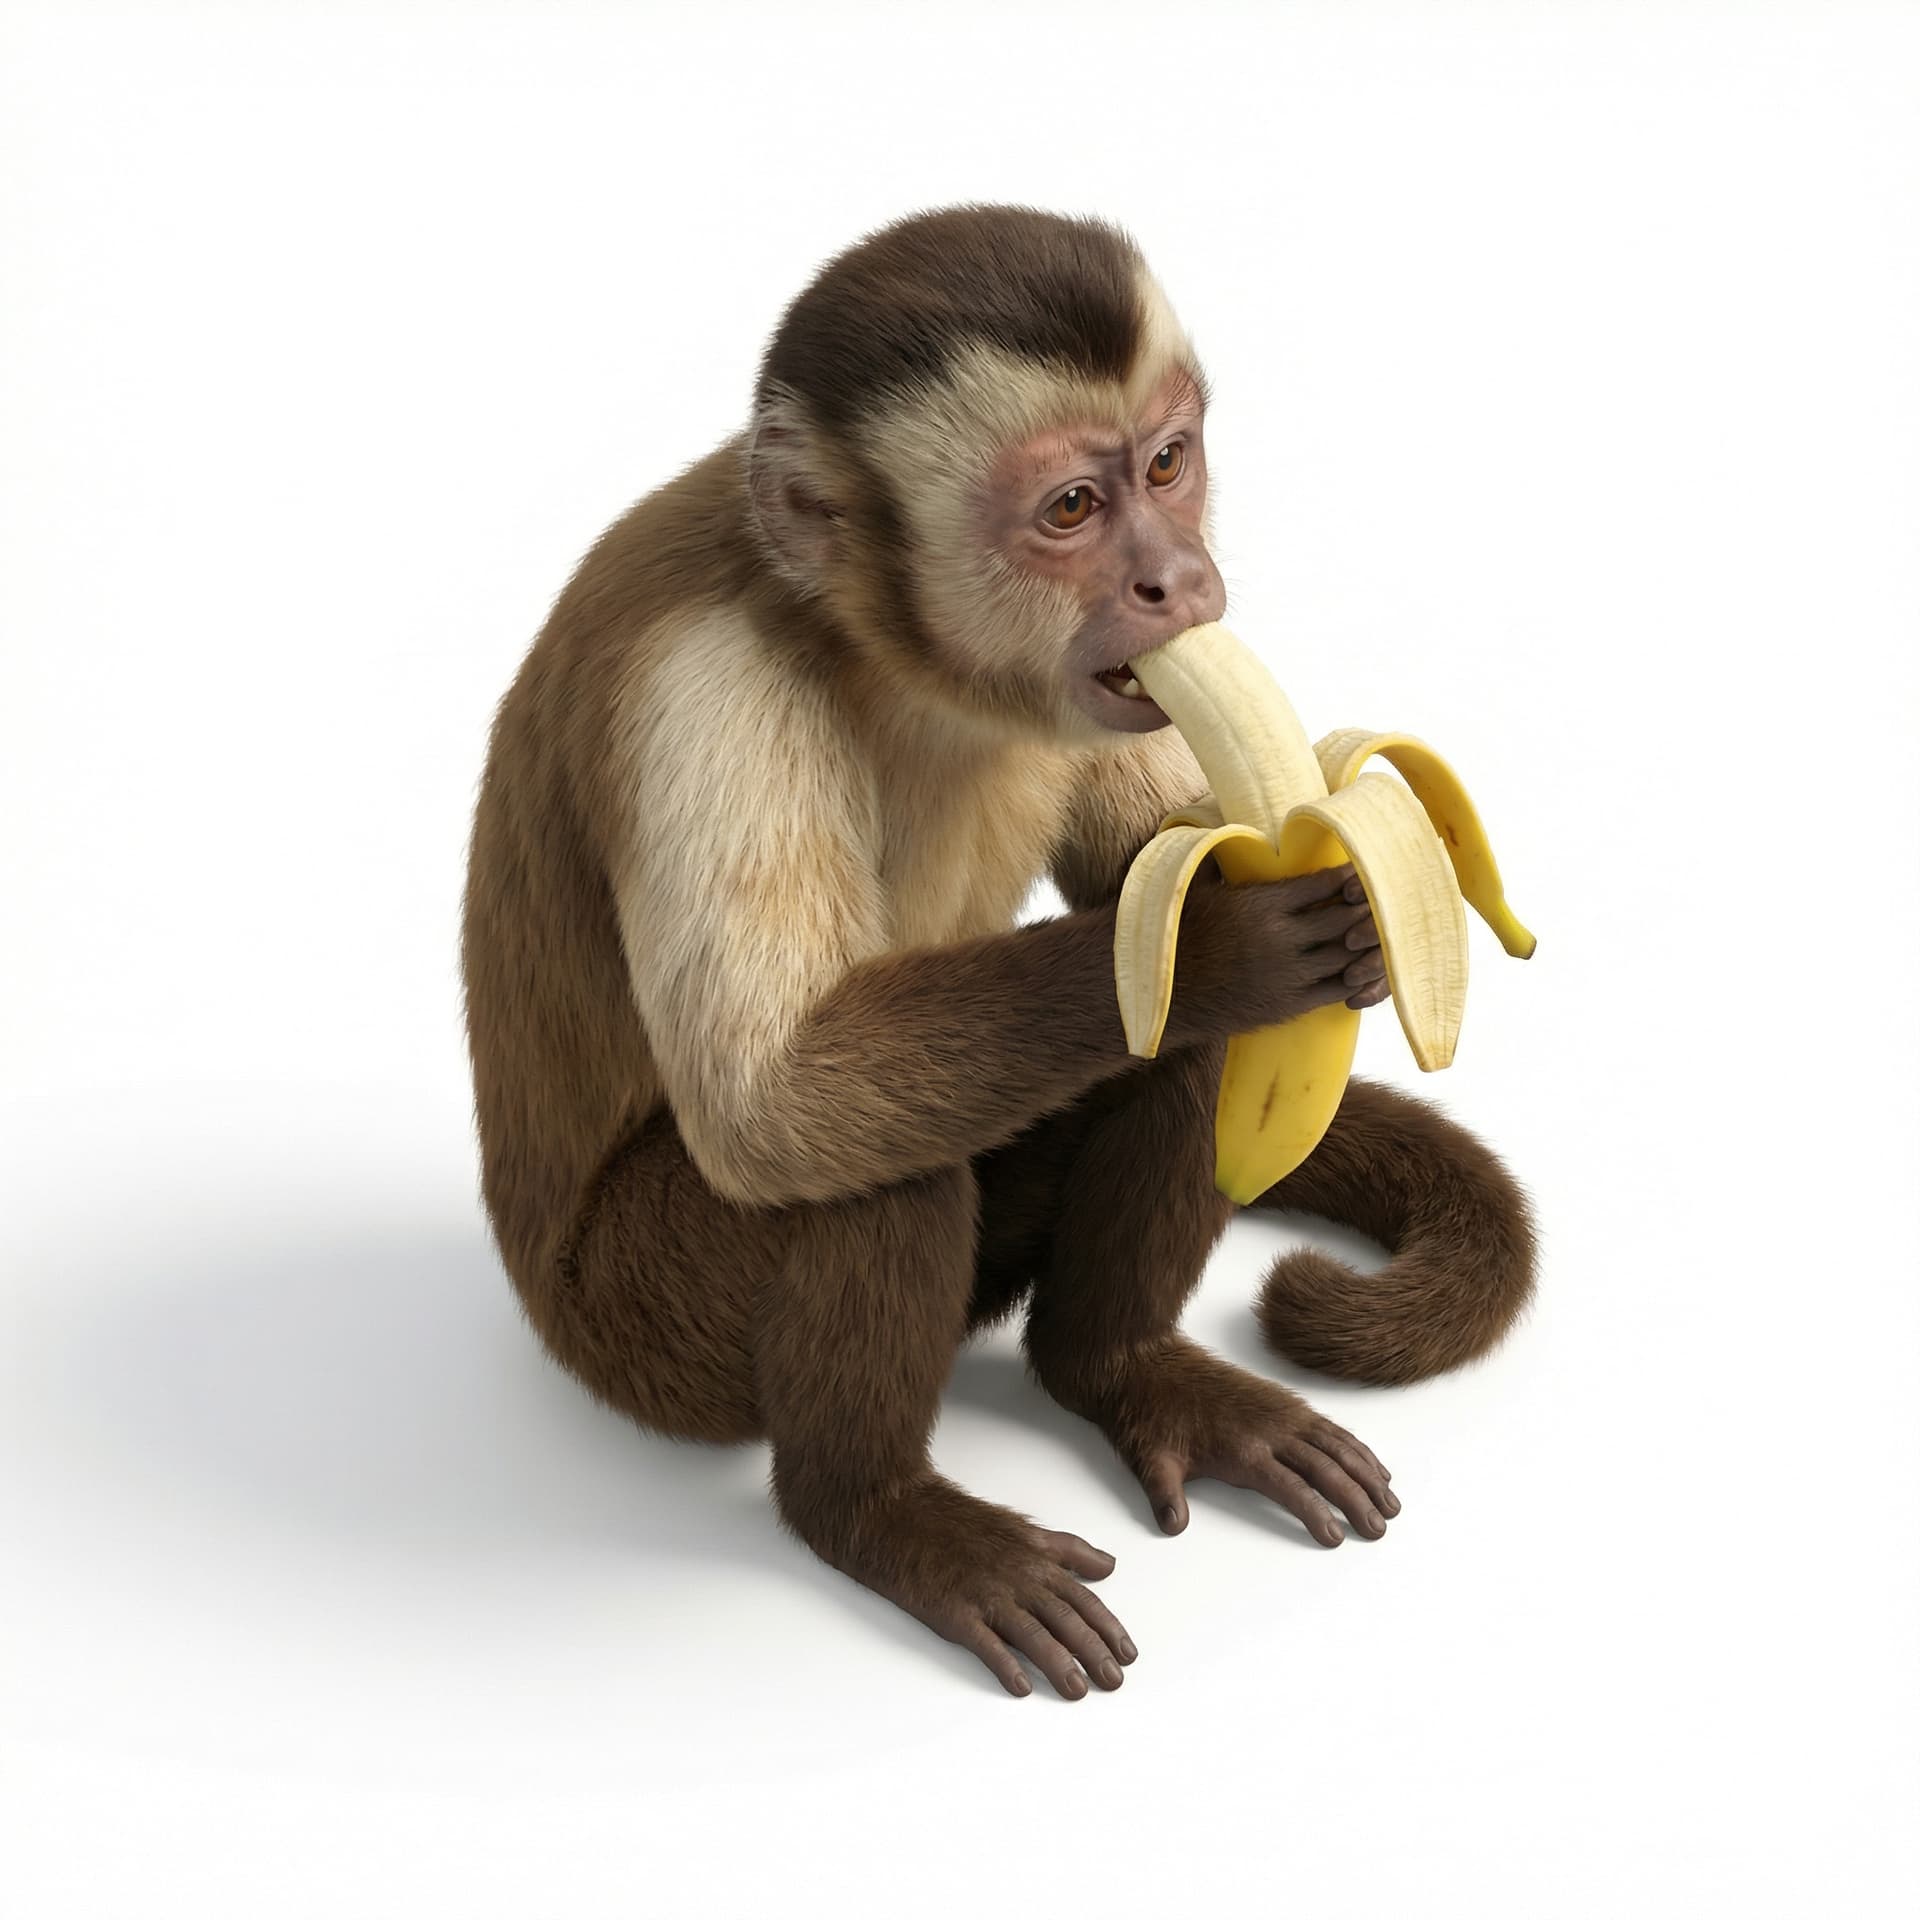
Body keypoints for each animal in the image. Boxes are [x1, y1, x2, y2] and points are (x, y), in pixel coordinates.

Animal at [459, 203, 1537, 1701]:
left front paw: (1354, 919)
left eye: (1167, 463)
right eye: (1070, 509)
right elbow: (767, 1100)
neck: (878, 644)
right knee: (861, 1160)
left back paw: (1117, 1369)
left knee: (1157, 1066)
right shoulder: (705, 691)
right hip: (635, 1334)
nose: (1174, 578)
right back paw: (873, 1511)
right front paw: (1224, 942)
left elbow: (1145, 868)